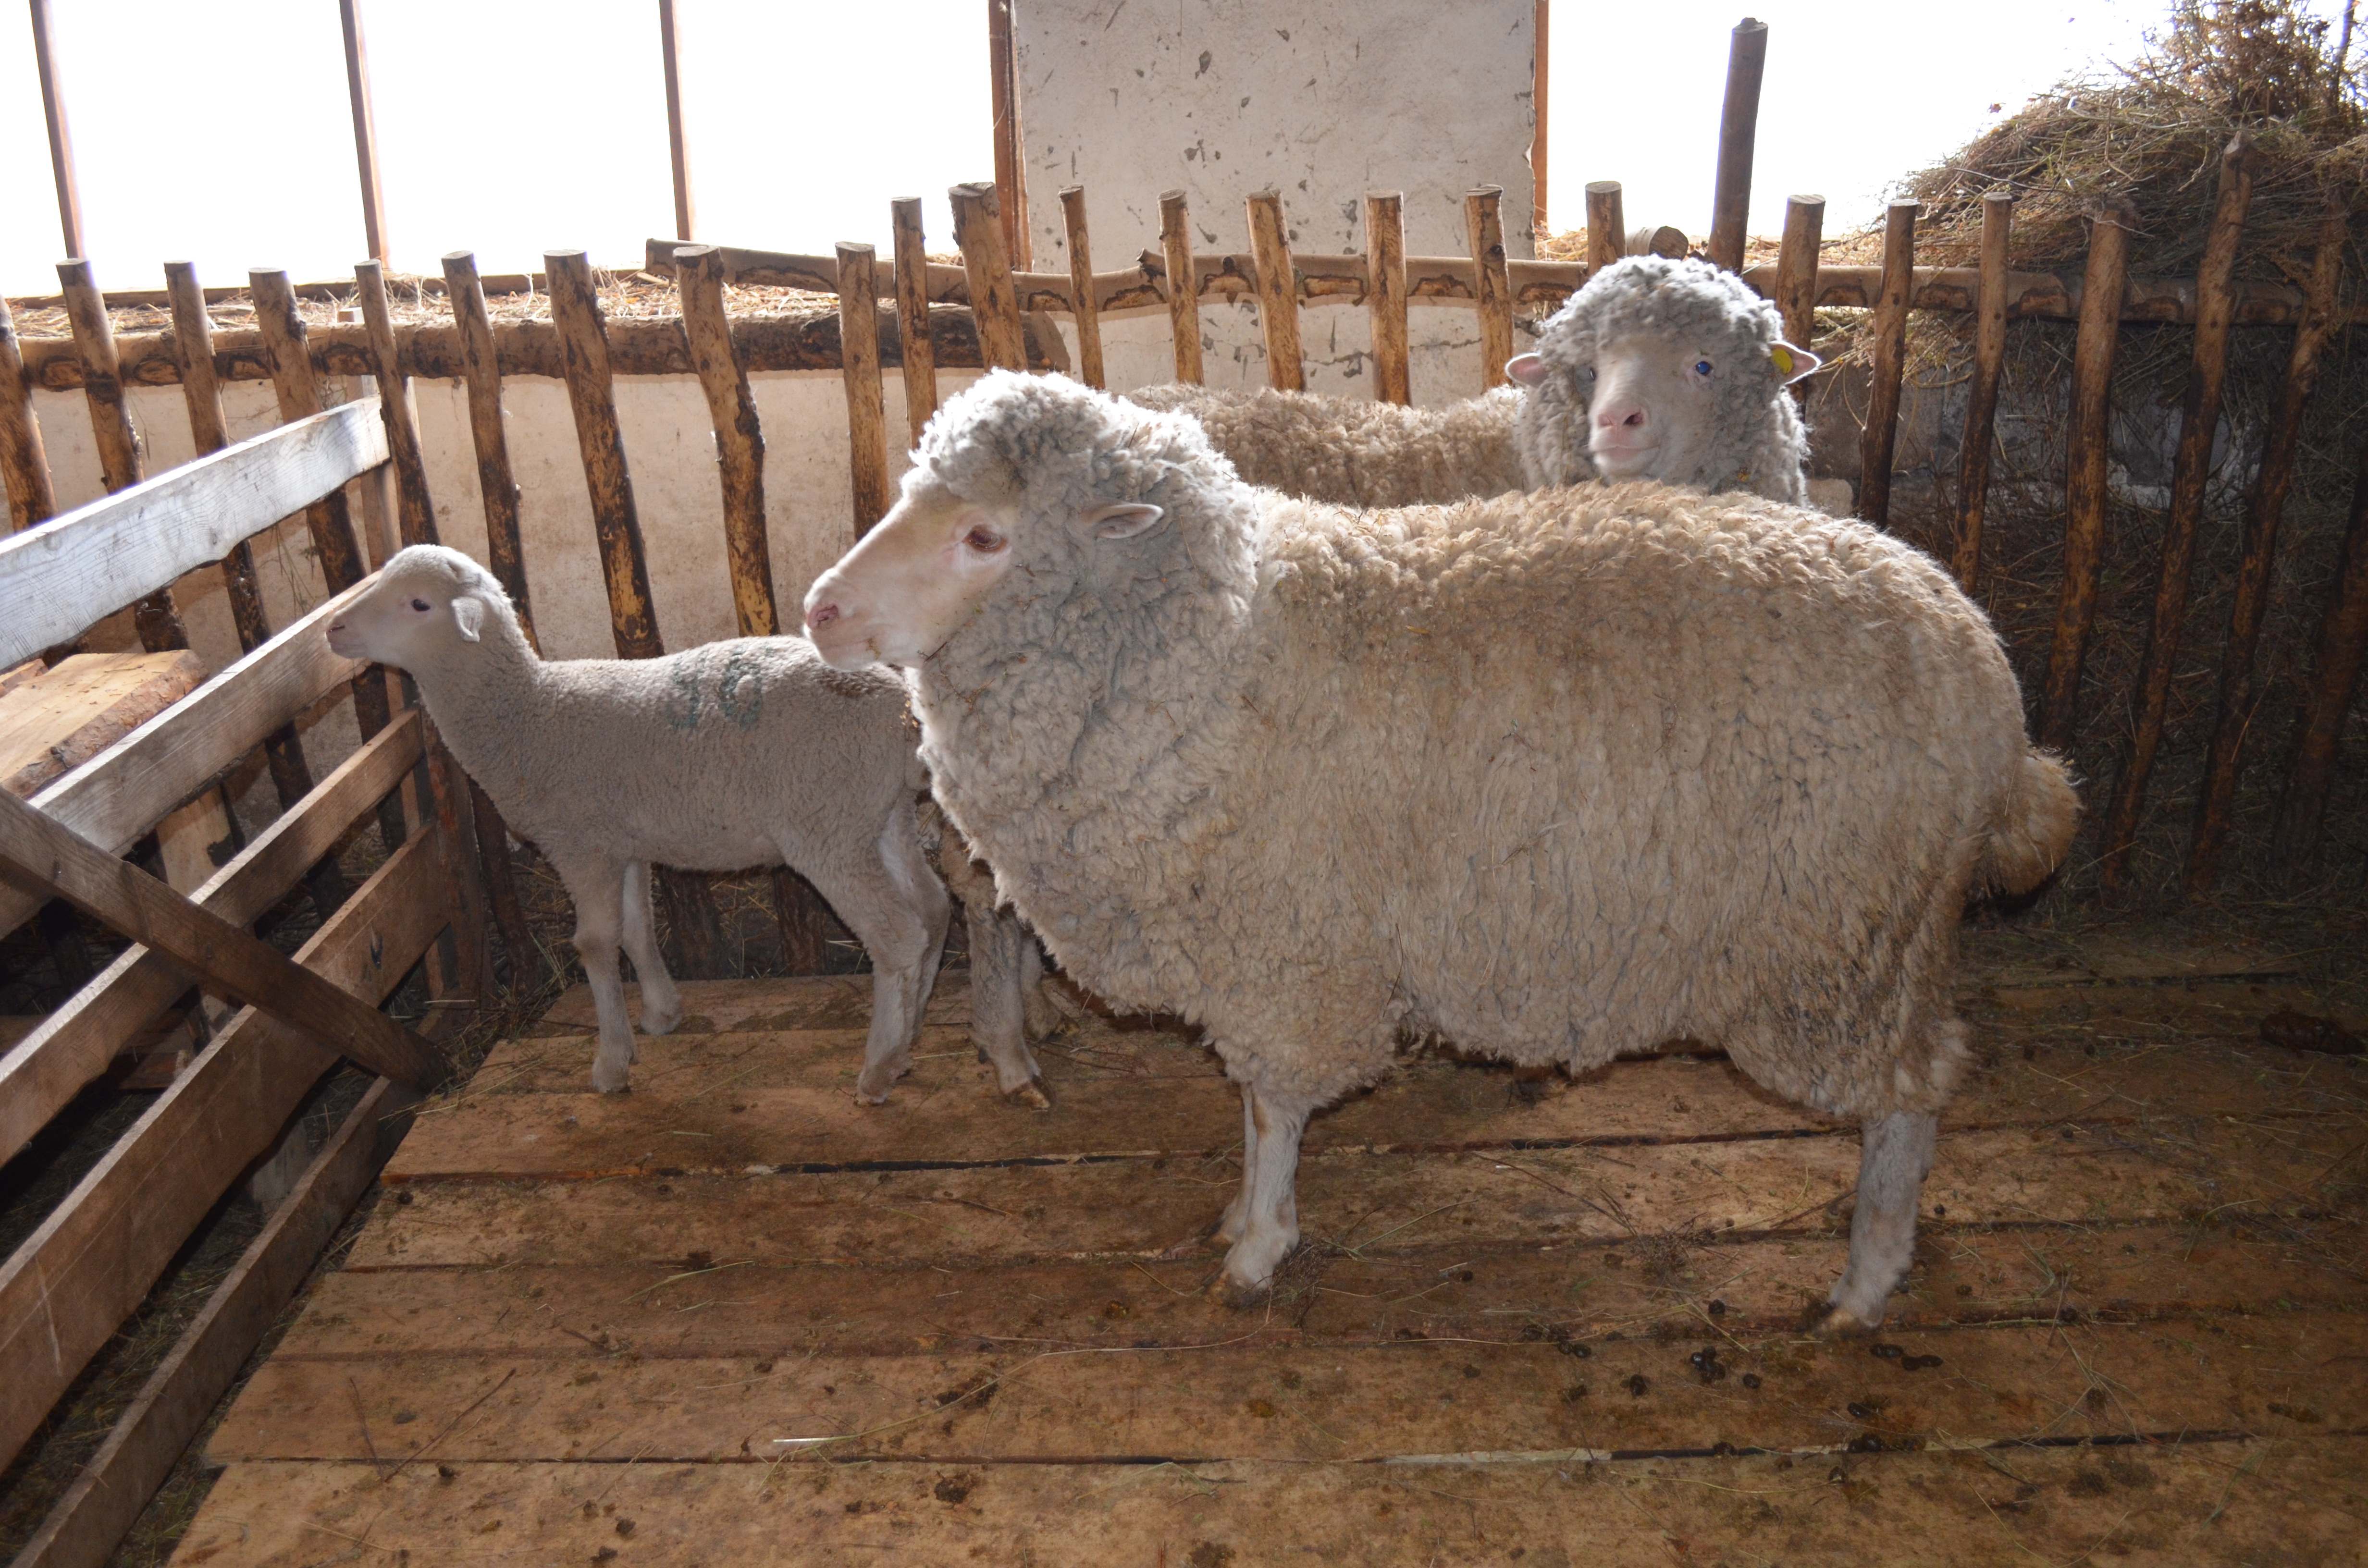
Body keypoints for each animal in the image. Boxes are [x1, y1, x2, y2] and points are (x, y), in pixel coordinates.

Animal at [329, 547, 1051, 1113]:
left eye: (418, 604)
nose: (334, 629)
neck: (528, 713)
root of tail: (899, 709)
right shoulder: (625, 843)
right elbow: (637, 929)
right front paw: (660, 1015)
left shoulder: (579, 842)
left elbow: (595, 944)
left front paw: (610, 1063)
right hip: (876, 817)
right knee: (930, 912)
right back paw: (906, 1043)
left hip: (823, 825)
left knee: (896, 935)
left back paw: (876, 1072)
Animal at [800, 374, 2074, 1335]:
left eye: (984, 535)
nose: (818, 611)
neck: (1217, 648)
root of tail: (1985, 673)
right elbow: (1258, 1111)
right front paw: (1245, 1224)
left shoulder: (1287, 949)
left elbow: (1271, 1110)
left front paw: (1257, 1246)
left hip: (1841, 946)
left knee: (1912, 1099)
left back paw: (1864, 1280)